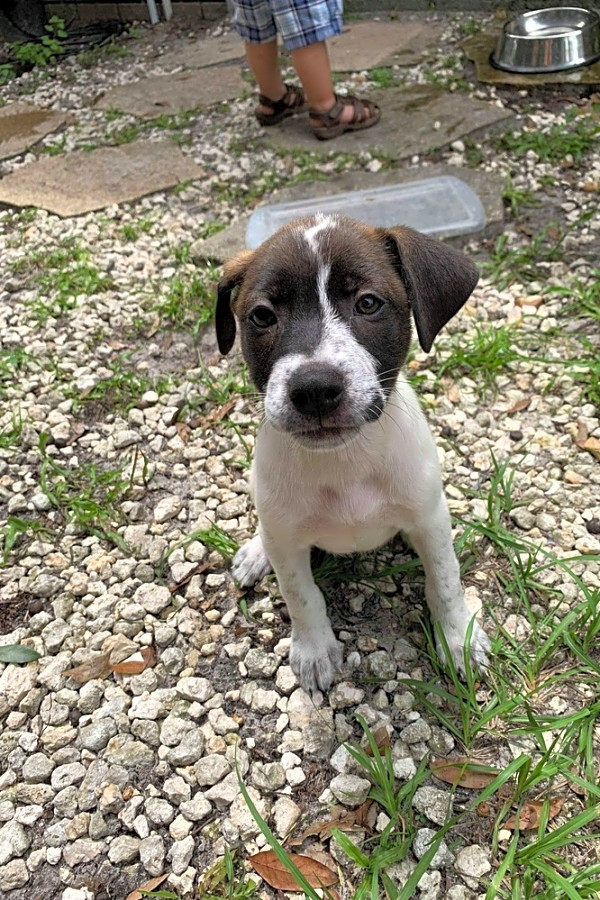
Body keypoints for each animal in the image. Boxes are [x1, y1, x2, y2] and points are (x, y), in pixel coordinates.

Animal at [218, 214, 490, 692]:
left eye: (367, 303)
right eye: (262, 315)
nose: (314, 389)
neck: (344, 461)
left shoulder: (429, 519)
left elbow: (445, 580)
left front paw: (458, 638)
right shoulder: (287, 541)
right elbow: (301, 595)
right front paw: (314, 651)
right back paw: (255, 552)